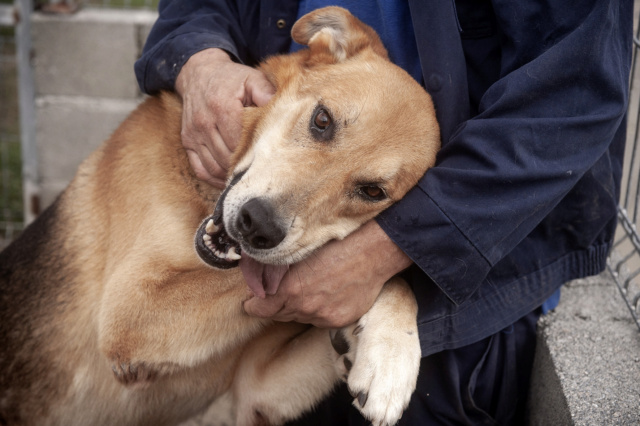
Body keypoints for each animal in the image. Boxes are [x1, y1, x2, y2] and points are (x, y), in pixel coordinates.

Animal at [0, 6, 440, 426]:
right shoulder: (132, 309)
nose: (257, 225)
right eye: (322, 120)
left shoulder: (258, 392)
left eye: (373, 191)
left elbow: (389, 278)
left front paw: (388, 356)